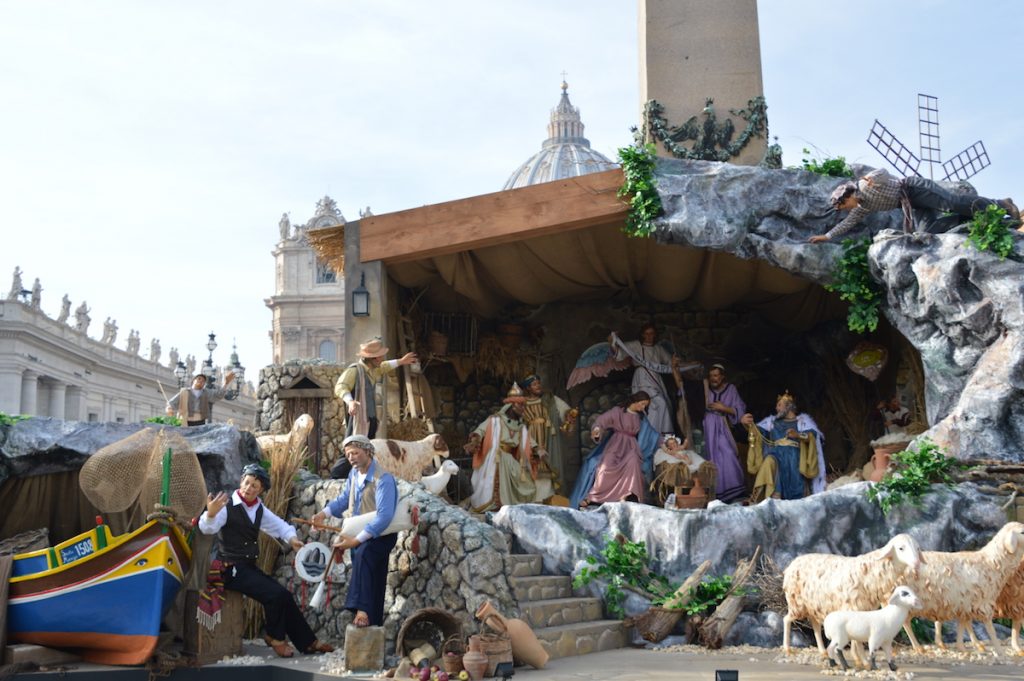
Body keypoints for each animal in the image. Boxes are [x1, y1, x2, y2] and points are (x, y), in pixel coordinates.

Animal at [778, 532, 925, 655]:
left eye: (918, 548)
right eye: (901, 548)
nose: (917, 563)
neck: (871, 572)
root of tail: (791, 565)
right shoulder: (851, 607)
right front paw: (859, 658)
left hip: (813, 604)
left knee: (815, 625)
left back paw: (822, 651)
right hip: (797, 602)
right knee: (786, 619)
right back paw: (787, 648)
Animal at [905, 520, 1024, 655]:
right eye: (1022, 532)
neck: (990, 561)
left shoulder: (966, 603)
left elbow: (963, 623)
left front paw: (962, 646)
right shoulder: (985, 603)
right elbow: (992, 629)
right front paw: (1003, 651)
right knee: (905, 622)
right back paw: (918, 647)